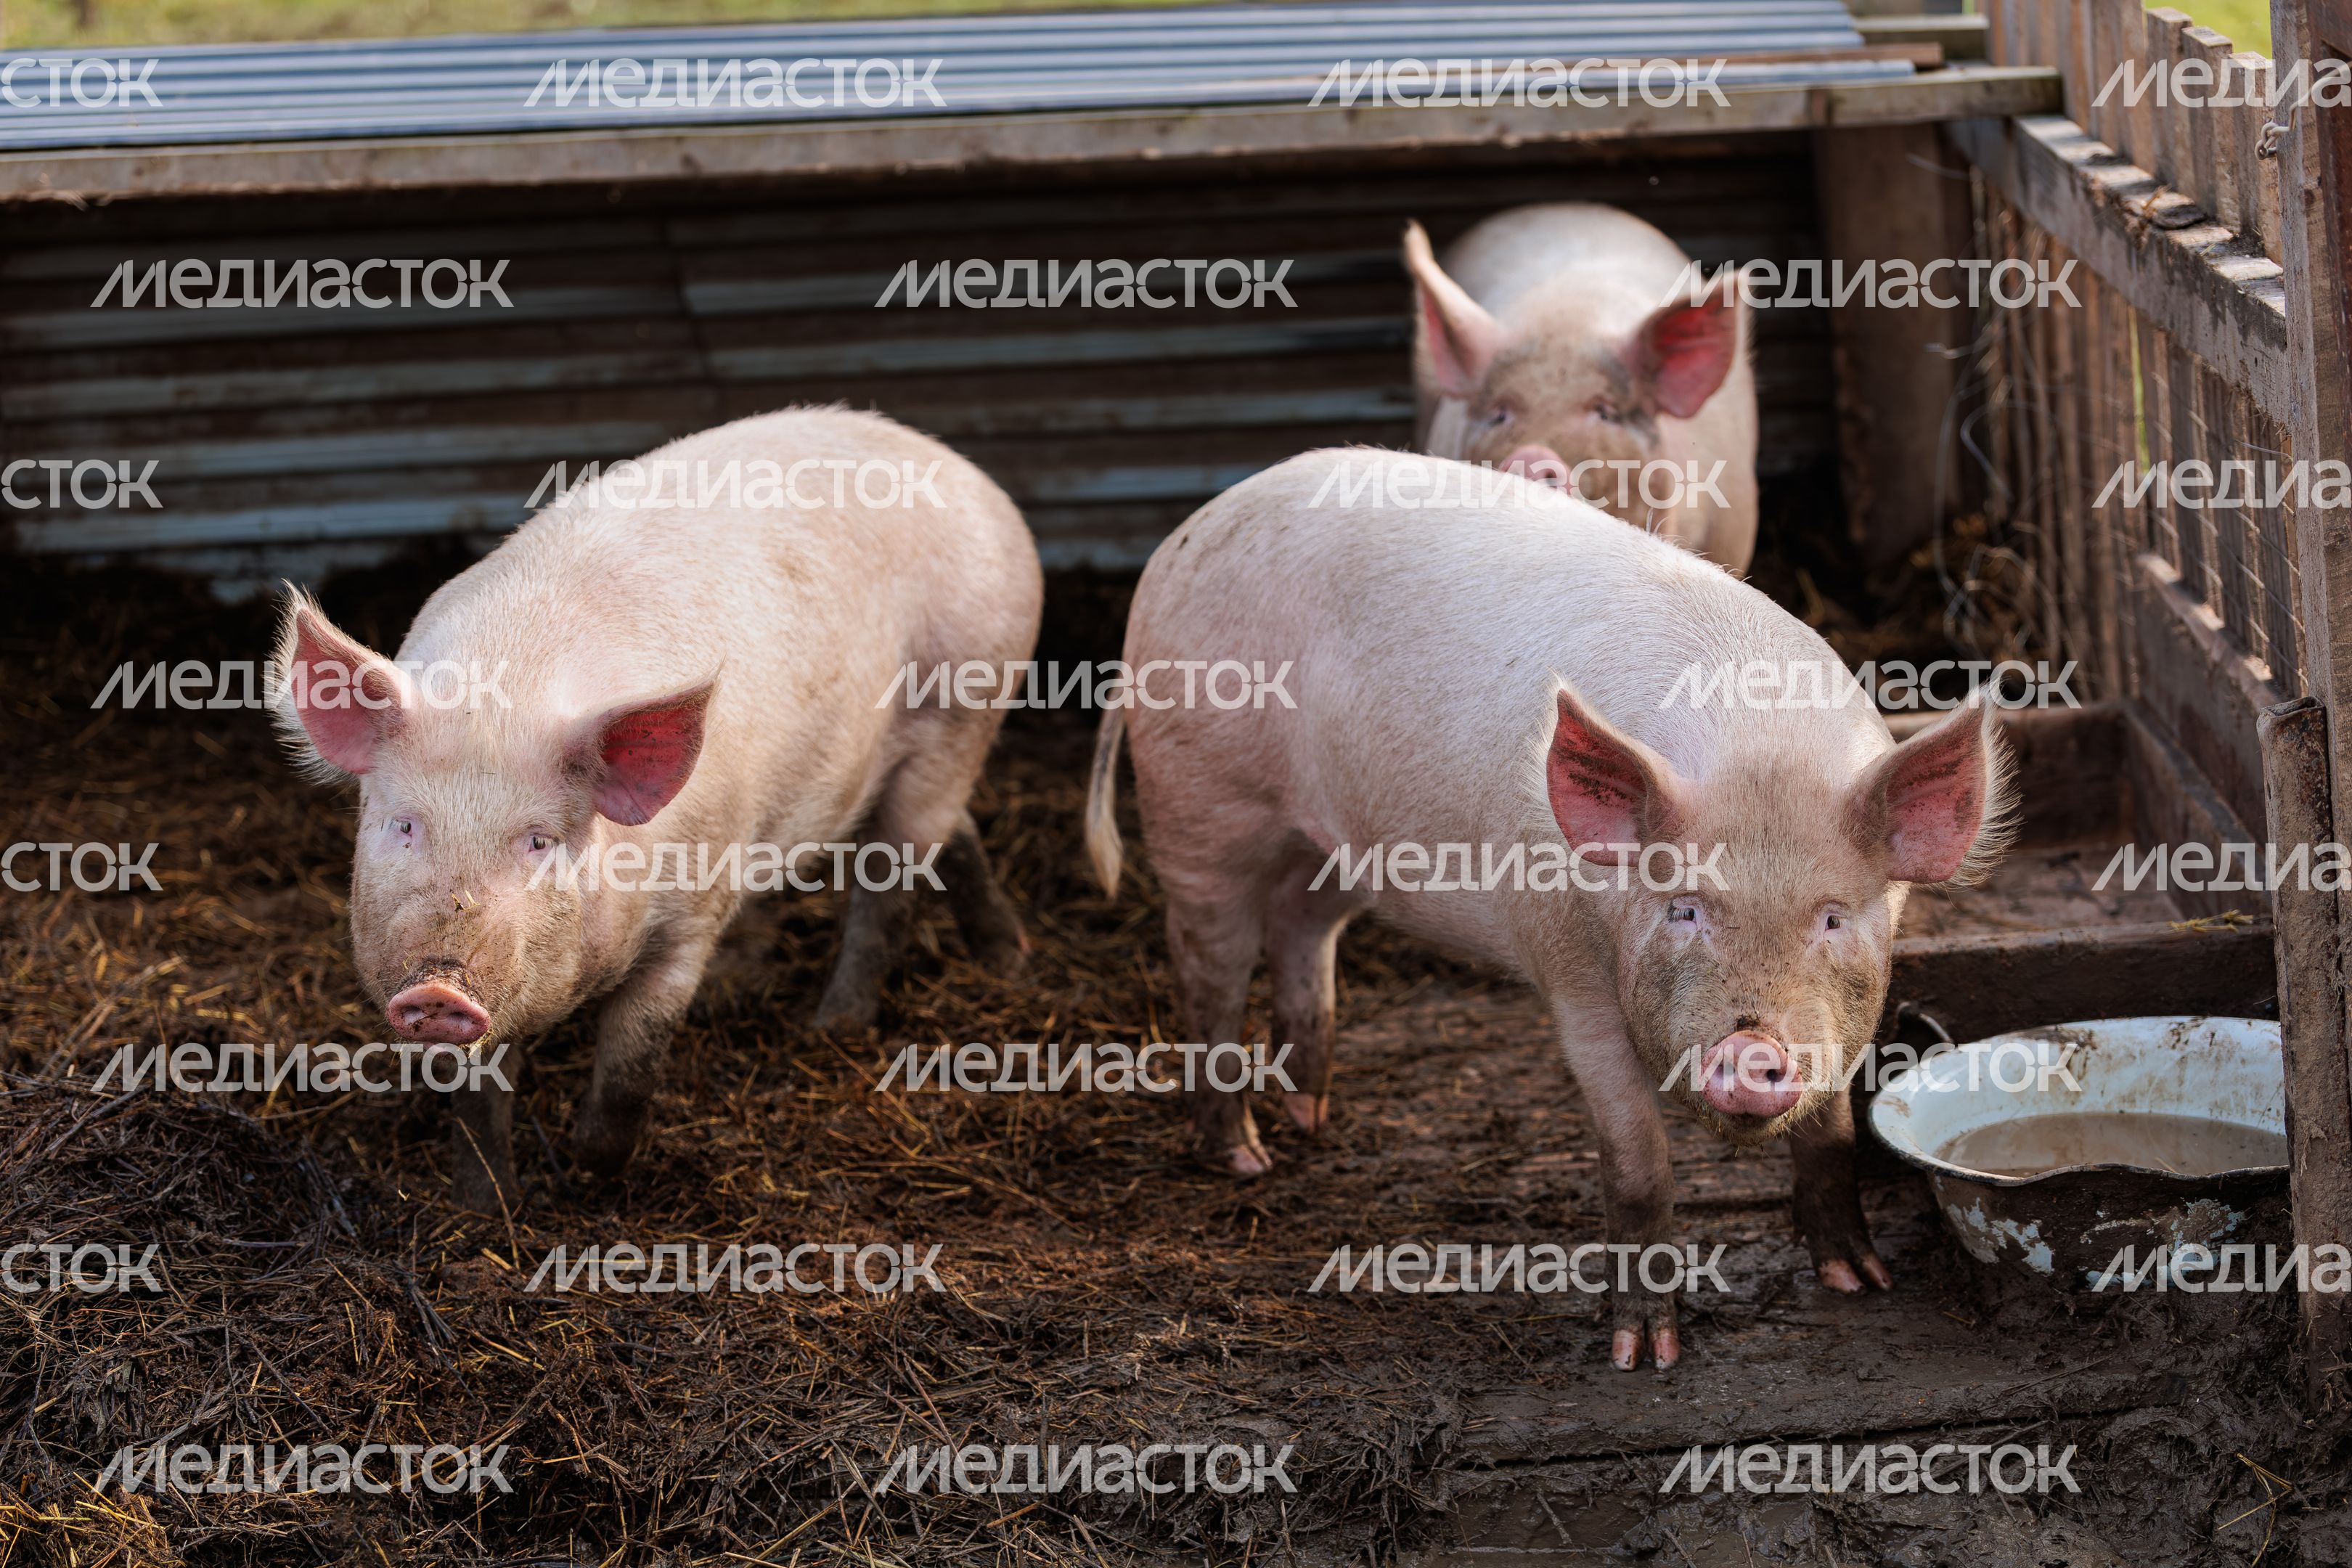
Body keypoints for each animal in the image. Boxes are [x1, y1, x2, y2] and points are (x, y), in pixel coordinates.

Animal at [274, 406, 1042, 1210]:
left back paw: (836, 1025)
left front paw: (589, 1171)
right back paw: (1005, 961)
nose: (438, 984)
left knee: (894, 883)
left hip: (962, 711)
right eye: (405, 825)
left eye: (540, 841)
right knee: (955, 836)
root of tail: (962, 472)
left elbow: (634, 1064)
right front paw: (488, 1207)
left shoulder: (690, 918)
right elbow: (478, 1099)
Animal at [1085, 449, 2010, 1369]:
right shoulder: (1573, 977)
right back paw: (1244, 1158)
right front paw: (1644, 1356)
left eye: (1832, 918)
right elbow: (1638, 1162)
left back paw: (1309, 1117)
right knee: (1208, 964)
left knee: (1302, 932)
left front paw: (1860, 1282)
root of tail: (1182, 540)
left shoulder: (1850, 1009)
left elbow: (1831, 1134)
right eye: (1683, 909)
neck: (1758, 748)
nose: (1750, 1048)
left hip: (1335, 847)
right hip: (1198, 802)